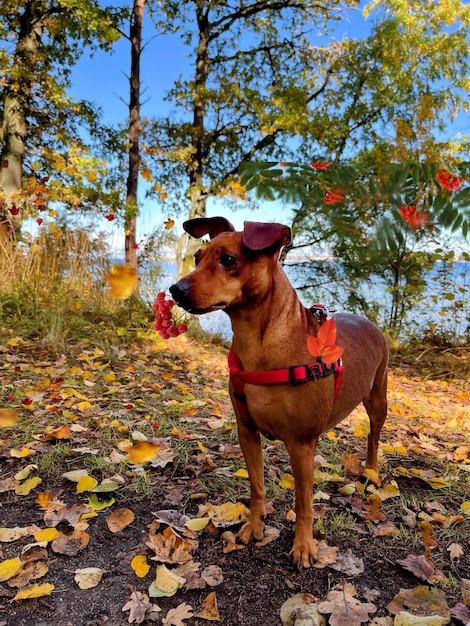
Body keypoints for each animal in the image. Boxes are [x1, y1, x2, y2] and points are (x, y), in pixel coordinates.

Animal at [171, 216, 388, 564]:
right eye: (196, 257)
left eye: (228, 259)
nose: (175, 289)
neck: (260, 347)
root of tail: (367, 322)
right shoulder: (247, 431)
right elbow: (257, 486)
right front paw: (254, 526)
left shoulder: (300, 444)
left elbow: (303, 503)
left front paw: (303, 545)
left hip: (378, 399)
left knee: (373, 436)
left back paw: (371, 470)